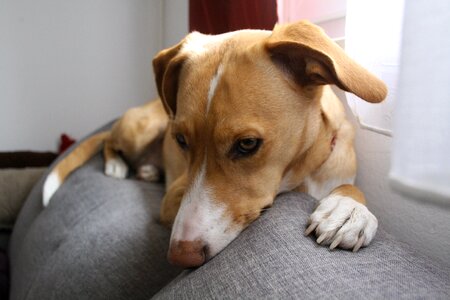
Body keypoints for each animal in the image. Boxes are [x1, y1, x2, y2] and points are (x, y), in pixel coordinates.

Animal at [44, 21, 386, 270]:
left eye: (247, 144)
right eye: (180, 140)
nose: (181, 258)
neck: (301, 173)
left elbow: (350, 188)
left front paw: (348, 209)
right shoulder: (173, 196)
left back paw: (147, 171)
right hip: (138, 129)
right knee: (109, 141)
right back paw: (117, 164)